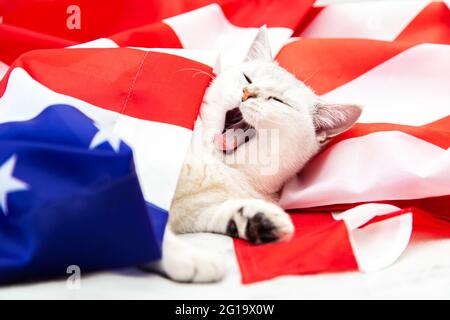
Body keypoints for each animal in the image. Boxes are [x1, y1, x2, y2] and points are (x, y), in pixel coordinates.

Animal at [151, 27, 362, 282]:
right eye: (247, 78)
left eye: (278, 101)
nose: (247, 93)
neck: (214, 163)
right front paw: (188, 258)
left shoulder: (193, 210)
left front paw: (257, 220)